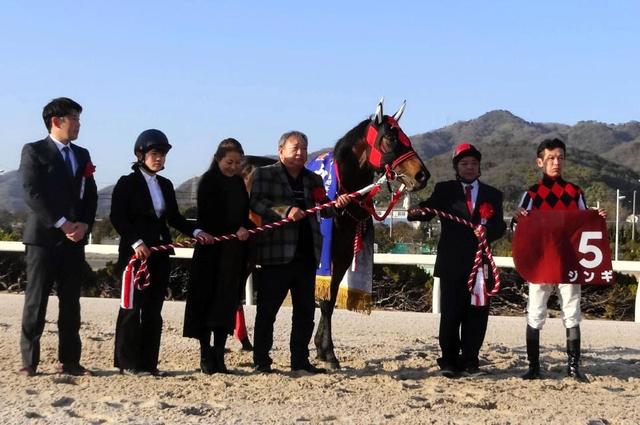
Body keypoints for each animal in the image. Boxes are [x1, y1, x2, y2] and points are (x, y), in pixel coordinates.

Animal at [314, 99, 430, 369]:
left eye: (406, 137)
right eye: (390, 138)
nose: (422, 175)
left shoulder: (343, 255)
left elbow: (329, 302)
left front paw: (325, 350)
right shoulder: (323, 256)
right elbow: (323, 301)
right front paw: (326, 351)